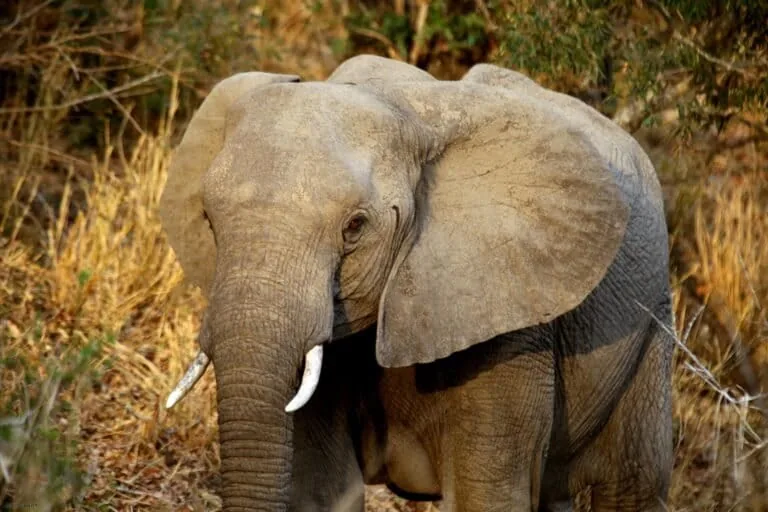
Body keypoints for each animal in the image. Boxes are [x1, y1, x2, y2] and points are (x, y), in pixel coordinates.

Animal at [158, 54, 674, 511]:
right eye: (208, 220)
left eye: (355, 227)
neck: (404, 111)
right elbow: (321, 490)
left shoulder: (509, 318)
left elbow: (485, 497)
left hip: (651, 321)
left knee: (632, 485)